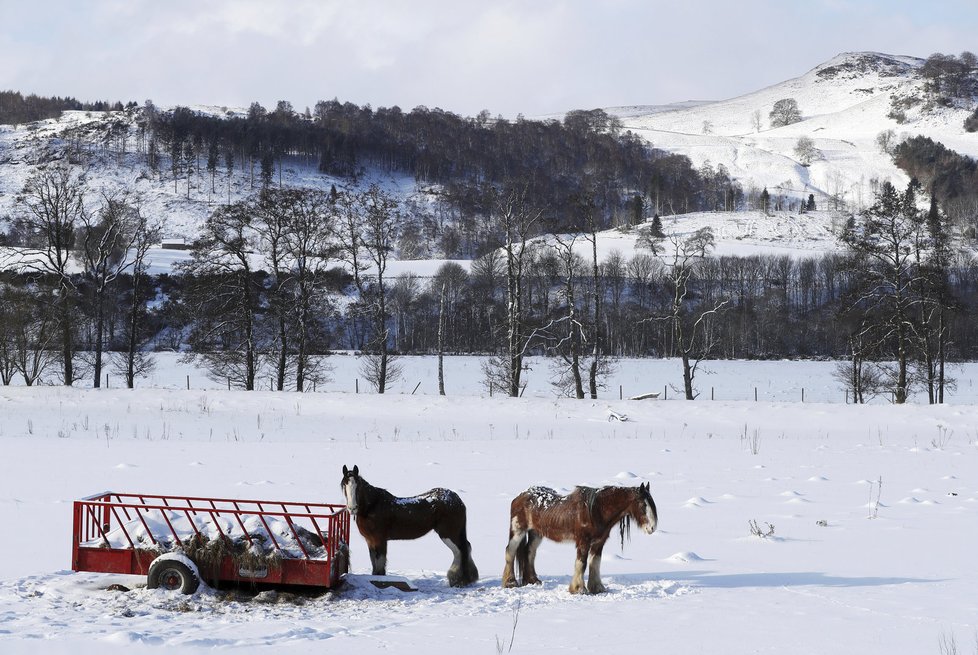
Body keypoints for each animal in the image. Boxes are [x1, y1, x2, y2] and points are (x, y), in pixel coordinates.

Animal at [342, 464, 478, 588]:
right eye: (344, 485)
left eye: (358, 486)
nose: (352, 508)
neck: (373, 507)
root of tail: (457, 500)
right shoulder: (370, 541)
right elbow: (374, 564)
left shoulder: (380, 540)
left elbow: (380, 565)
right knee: (466, 547)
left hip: (448, 534)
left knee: (459, 551)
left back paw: (457, 580)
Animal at [504, 482, 656, 596]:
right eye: (643, 505)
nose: (652, 528)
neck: (596, 510)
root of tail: (520, 496)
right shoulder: (583, 542)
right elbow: (581, 563)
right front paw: (578, 589)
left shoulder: (599, 542)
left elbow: (595, 563)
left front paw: (597, 588)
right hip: (518, 531)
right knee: (510, 551)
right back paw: (510, 582)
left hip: (536, 533)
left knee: (529, 552)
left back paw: (533, 580)